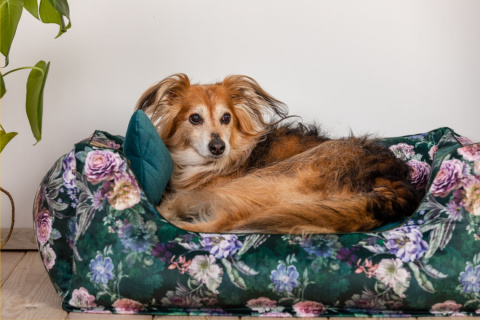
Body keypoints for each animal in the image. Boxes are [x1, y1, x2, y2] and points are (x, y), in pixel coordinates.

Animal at [135, 75, 420, 235]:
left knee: (228, 221)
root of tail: (390, 179)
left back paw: (171, 213)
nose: (218, 147)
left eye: (226, 118)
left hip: (273, 176)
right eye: (195, 118)